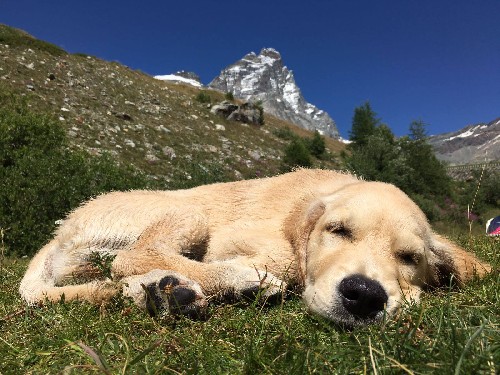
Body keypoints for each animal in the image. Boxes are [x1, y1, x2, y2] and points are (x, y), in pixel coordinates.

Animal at [18, 169, 488, 328]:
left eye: (409, 258)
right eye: (337, 231)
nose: (364, 296)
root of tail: (61, 230)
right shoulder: (250, 241)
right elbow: (286, 263)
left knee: (114, 276)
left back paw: (164, 292)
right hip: (189, 210)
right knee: (126, 258)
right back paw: (239, 283)